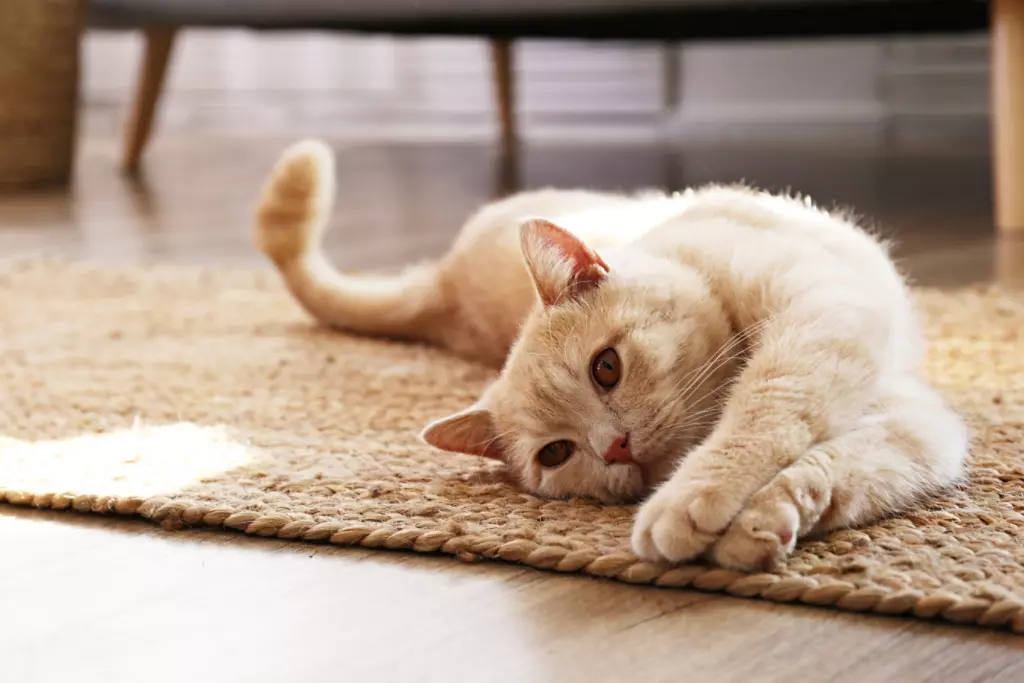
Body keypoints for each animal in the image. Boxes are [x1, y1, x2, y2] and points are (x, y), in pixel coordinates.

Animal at [253, 139, 966, 573]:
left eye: (606, 368)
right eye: (556, 454)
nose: (616, 447)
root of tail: (444, 284)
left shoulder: (827, 319)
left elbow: (768, 413)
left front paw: (698, 502)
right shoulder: (918, 426)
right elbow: (836, 468)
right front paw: (762, 522)